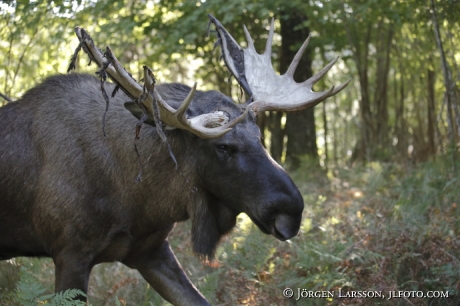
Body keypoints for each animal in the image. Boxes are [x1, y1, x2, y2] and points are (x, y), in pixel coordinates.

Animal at [0, 14, 346, 306]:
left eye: (260, 136)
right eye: (223, 147)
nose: (292, 211)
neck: (139, 199)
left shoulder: (151, 251)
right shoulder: (70, 254)